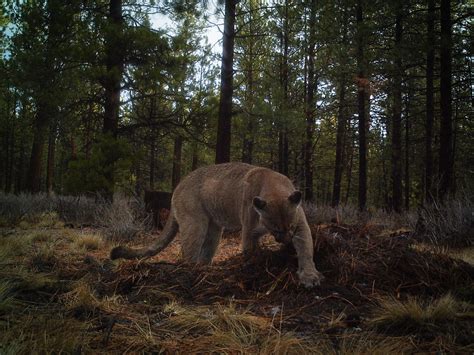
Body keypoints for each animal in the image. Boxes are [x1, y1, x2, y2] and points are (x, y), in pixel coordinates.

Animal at [110, 163, 324, 288]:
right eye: (276, 229)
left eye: (289, 227)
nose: (285, 241)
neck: (273, 187)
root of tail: (179, 184)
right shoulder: (249, 230)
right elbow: (250, 248)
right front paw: (255, 264)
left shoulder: (301, 226)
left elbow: (306, 249)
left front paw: (309, 276)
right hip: (196, 223)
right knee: (188, 252)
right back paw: (193, 271)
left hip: (214, 229)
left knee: (205, 251)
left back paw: (207, 269)